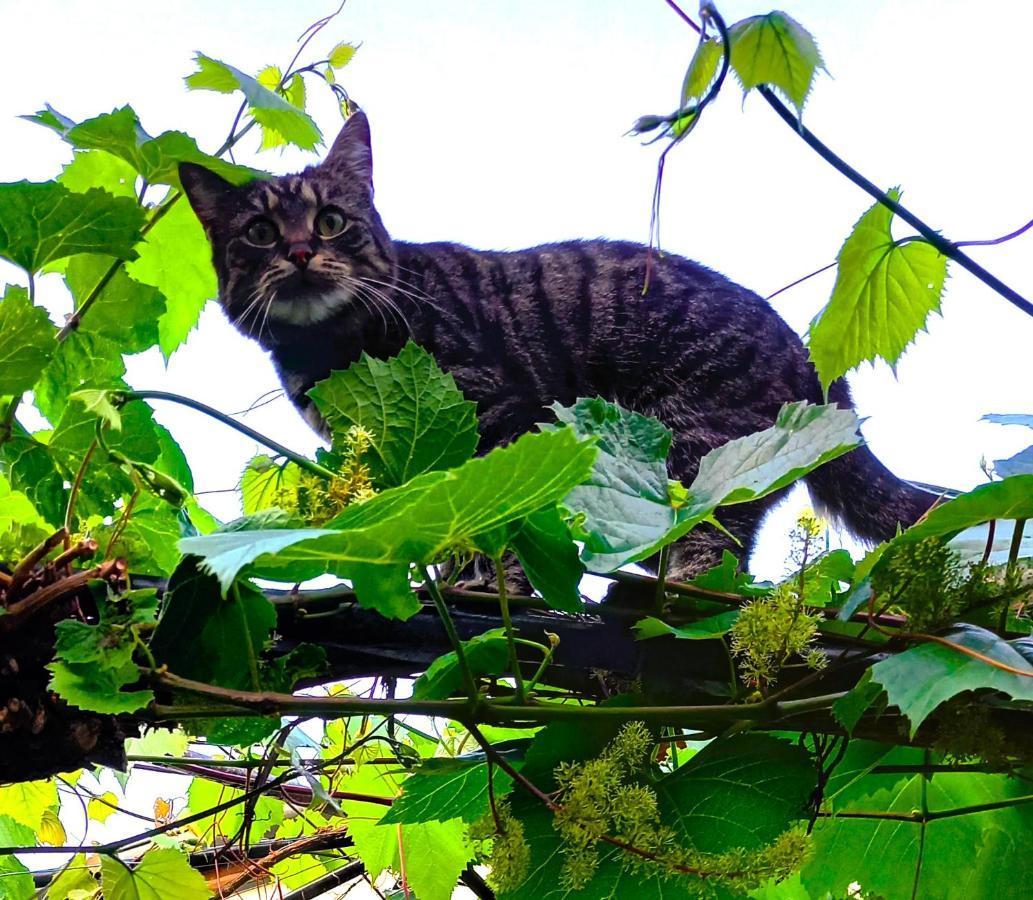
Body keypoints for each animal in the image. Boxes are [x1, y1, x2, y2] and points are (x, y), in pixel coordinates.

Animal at [175, 112, 929, 578]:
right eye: (259, 234)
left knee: (711, 542)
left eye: (331, 220)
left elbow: (500, 518)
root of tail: (809, 356)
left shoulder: (500, 416)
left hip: (699, 449)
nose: (301, 251)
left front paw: (487, 582)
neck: (331, 351)